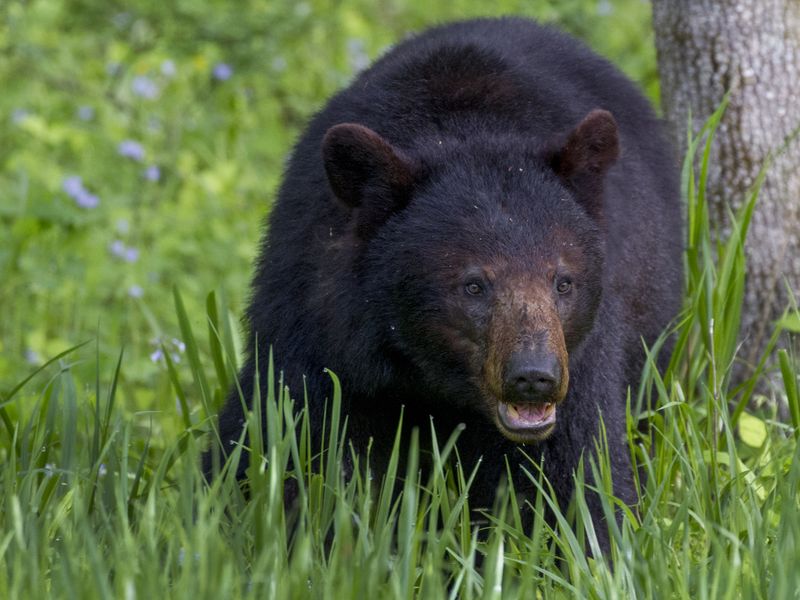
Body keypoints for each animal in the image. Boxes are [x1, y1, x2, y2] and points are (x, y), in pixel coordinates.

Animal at [205, 17, 683, 549]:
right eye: (473, 285)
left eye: (563, 282)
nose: (533, 376)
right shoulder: (316, 326)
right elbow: (284, 439)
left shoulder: (585, 354)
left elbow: (579, 470)